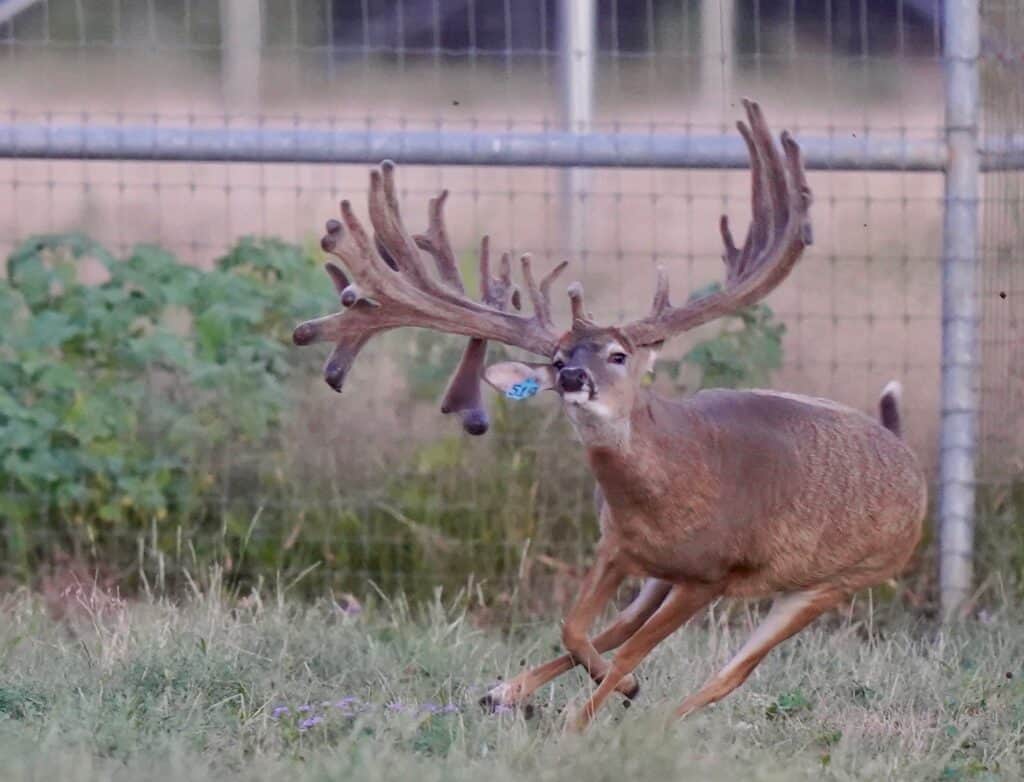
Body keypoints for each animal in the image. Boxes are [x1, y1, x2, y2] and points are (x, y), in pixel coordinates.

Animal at [292, 100, 927, 732]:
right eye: (556, 360)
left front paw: (584, 719)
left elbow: (635, 649)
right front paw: (583, 690)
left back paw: (648, 716)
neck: (673, 486)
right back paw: (511, 692)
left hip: (836, 581)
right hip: (674, 576)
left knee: (728, 674)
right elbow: (578, 628)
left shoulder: (712, 572)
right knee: (625, 630)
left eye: (618, 354)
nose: (575, 377)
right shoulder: (617, 546)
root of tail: (906, 456)